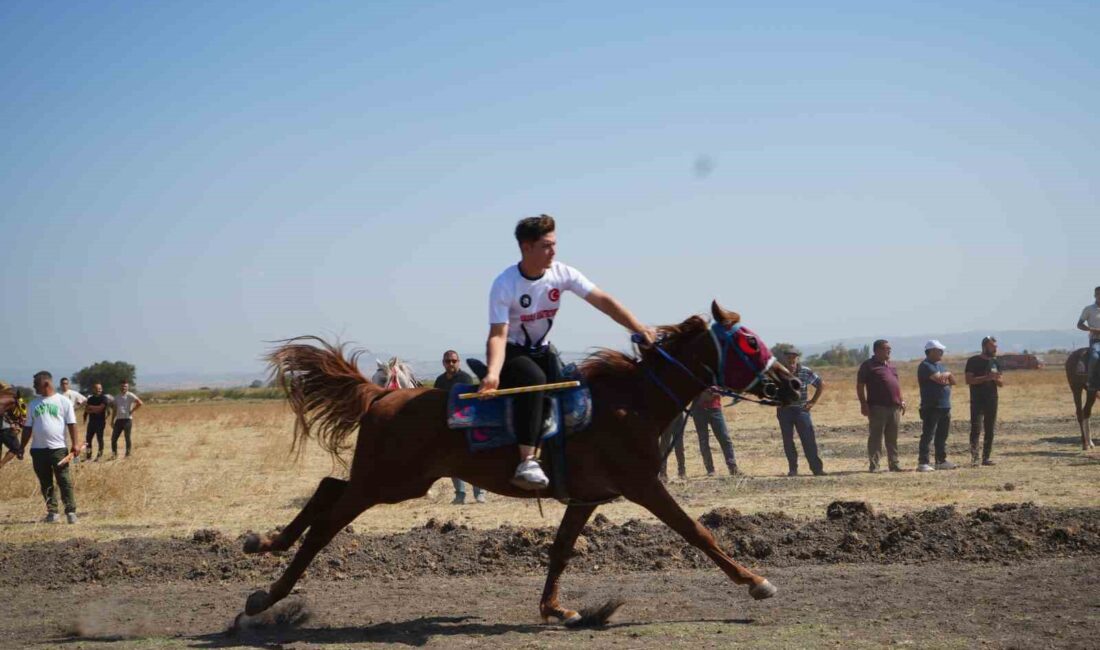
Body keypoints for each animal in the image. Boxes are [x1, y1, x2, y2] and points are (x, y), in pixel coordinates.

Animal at [243, 303, 800, 624]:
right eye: (750, 342)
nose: (793, 384)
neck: (632, 401)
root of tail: (383, 395)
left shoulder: (586, 497)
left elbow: (560, 550)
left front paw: (555, 607)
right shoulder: (644, 486)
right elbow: (697, 533)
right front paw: (756, 582)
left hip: (394, 481)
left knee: (326, 487)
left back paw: (264, 543)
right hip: (387, 483)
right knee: (326, 522)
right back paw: (267, 596)